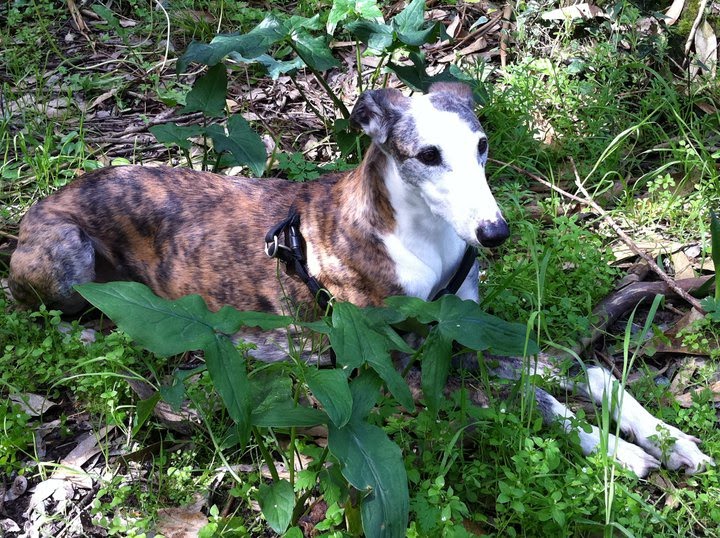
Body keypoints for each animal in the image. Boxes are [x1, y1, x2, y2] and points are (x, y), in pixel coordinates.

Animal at [8, 81, 712, 476]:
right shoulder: (406, 371)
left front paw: (673, 439)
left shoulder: (464, 330)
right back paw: (95, 338)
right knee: (39, 315)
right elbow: (531, 401)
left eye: (482, 145)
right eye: (427, 155)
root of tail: (39, 206)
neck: (419, 239)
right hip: (65, 255)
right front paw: (619, 453)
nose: (494, 234)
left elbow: (584, 371)